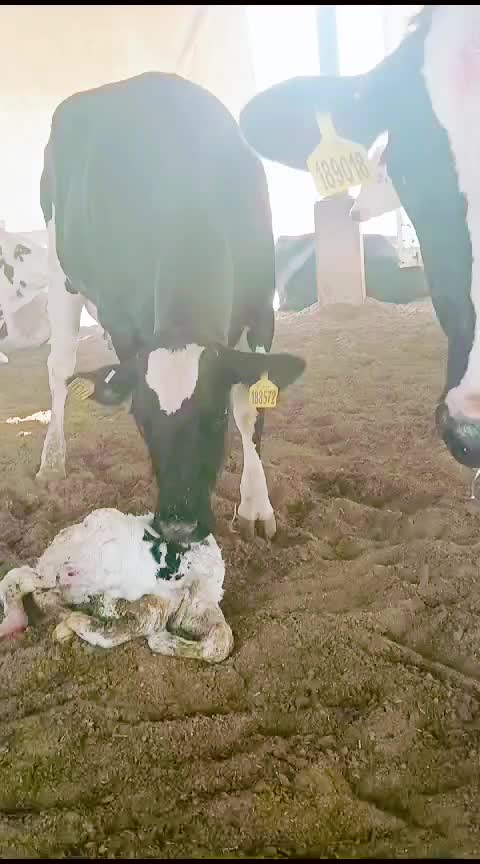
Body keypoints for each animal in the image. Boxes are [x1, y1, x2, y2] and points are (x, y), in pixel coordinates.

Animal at [36, 72, 305, 547]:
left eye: (215, 418)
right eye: (142, 420)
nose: (179, 525)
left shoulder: (261, 309)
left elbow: (251, 408)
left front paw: (256, 507)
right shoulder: (123, 323)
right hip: (59, 271)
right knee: (60, 367)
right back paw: (52, 458)